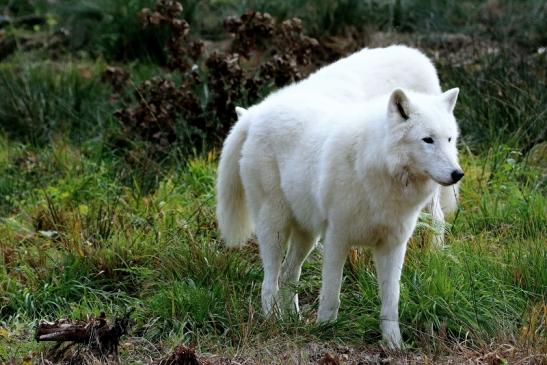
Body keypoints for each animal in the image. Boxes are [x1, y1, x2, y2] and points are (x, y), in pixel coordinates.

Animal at [216, 46, 464, 346]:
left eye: (449, 139)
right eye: (427, 140)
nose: (457, 173)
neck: (380, 175)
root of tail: (256, 114)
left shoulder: (393, 245)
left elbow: (391, 301)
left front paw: (393, 344)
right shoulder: (337, 238)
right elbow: (331, 294)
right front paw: (324, 330)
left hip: (307, 234)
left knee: (289, 274)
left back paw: (292, 320)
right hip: (275, 227)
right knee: (270, 281)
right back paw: (272, 321)